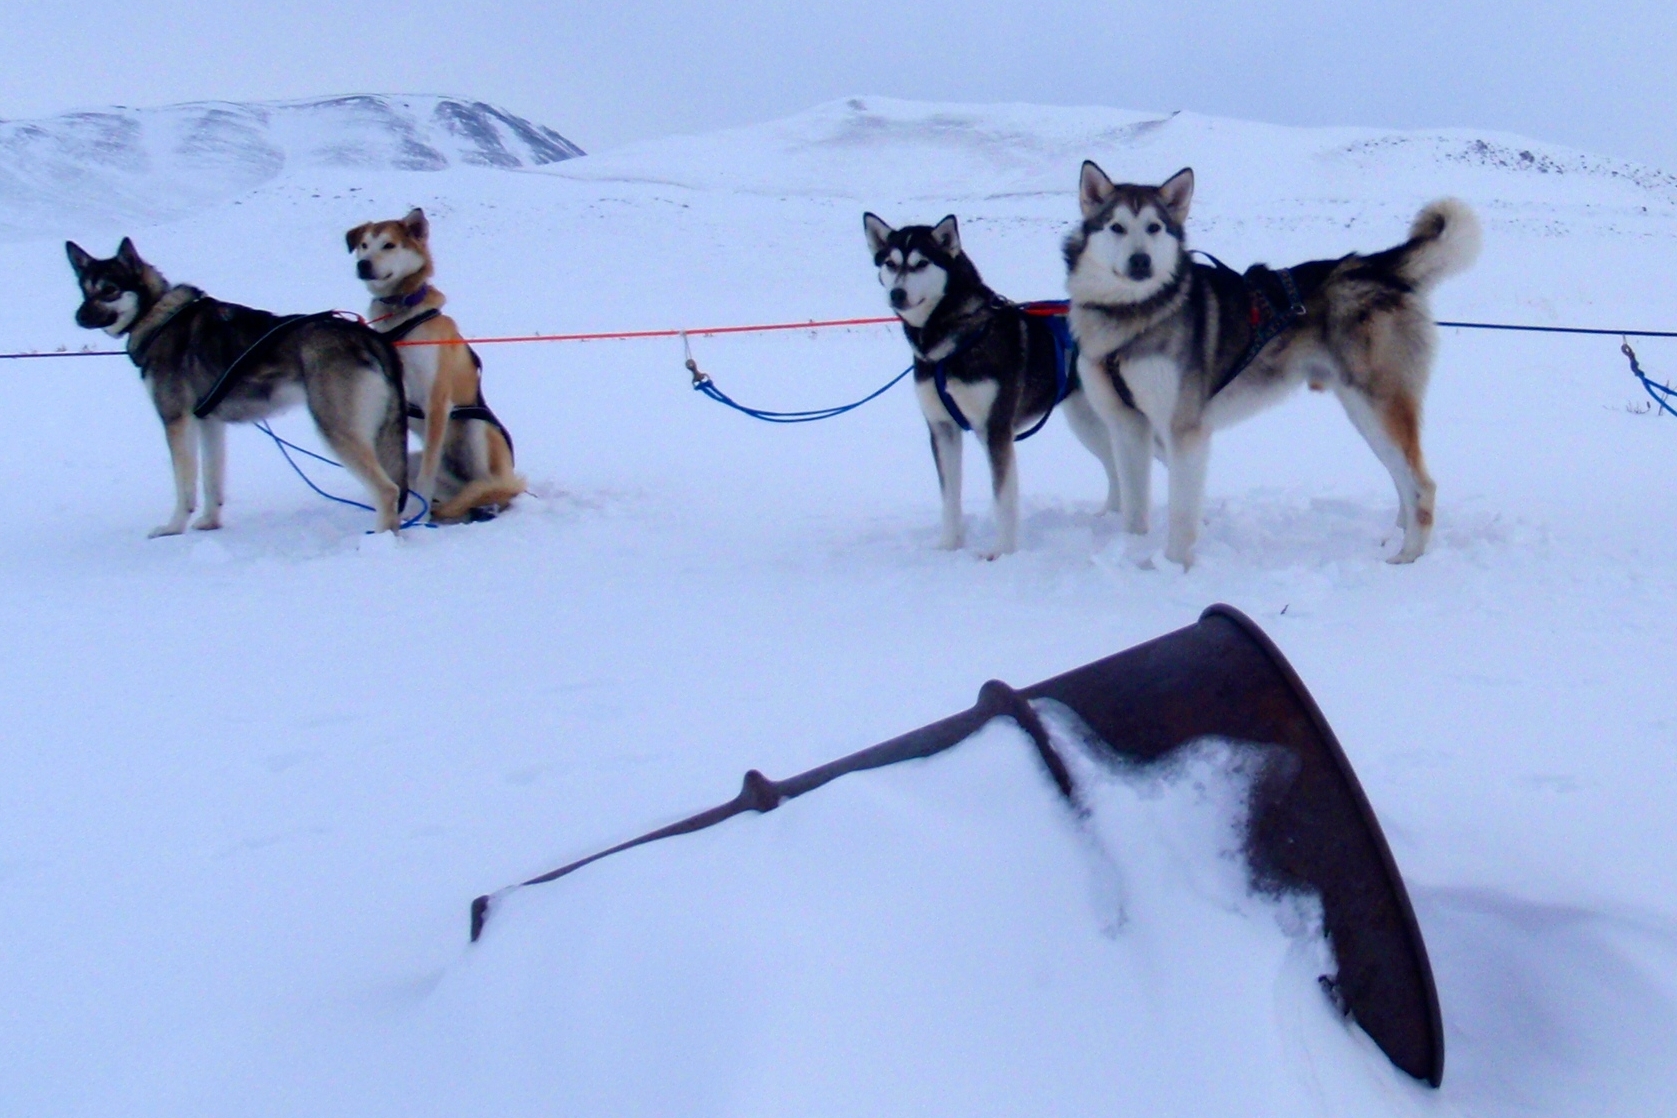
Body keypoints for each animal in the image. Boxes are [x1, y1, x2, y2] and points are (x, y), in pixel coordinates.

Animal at [64, 238, 409, 536]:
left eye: (109, 290)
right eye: (84, 290)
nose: (79, 316)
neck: (158, 317)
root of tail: (367, 337)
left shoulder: (176, 422)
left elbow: (185, 487)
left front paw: (173, 528)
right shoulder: (209, 424)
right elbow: (211, 482)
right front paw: (209, 523)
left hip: (337, 429)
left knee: (388, 490)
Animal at [343, 207, 519, 522]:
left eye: (389, 245)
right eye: (364, 245)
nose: (363, 264)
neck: (399, 317)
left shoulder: (437, 401)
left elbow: (426, 475)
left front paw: (420, 519)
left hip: (475, 428)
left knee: (493, 487)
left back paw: (483, 507)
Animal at [865, 212, 1126, 556]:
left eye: (921, 263)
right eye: (891, 263)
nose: (897, 294)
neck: (949, 347)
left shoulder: (995, 428)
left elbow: (1002, 498)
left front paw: (1001, 552)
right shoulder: (942, 428)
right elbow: (950, 498)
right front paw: (948, 545)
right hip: (1087, 421)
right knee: (1115, 463)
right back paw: (1113, 515)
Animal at [1066, 164, 1475, 569]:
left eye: (1154, 227)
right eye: (1117, 227)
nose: (1141, 261)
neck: (1132, 313)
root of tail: (1372, 267)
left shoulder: (1184, 430)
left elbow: (1182, 513)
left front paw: (1175, 566)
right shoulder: (1127, 427)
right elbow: (1134, 508)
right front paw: (1130, 553)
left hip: (1377, 405)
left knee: (1421, 484)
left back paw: (1409, 555)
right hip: (1363, 411)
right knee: (1401, 476)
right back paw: (1398, 535)